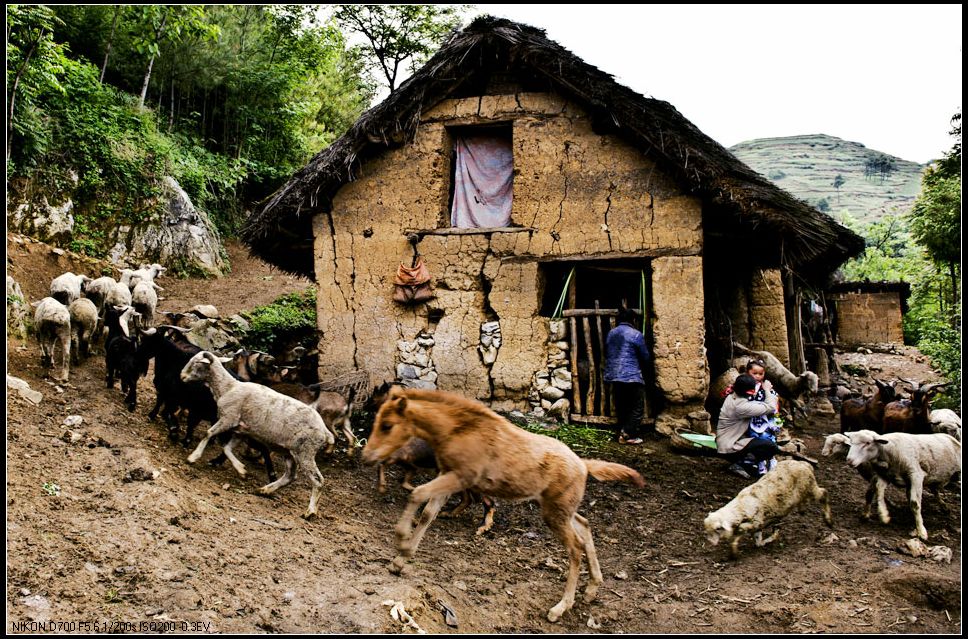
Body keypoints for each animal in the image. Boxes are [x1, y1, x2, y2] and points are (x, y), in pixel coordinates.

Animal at [182, 350, 336, 520]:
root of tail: (325, 431)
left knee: (318, 480)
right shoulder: (241, 429)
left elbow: (208, 433)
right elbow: (226, 449)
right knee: (290, 475)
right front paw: (241, 470)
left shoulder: (228, 418)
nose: (182, 376)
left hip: (305, 451)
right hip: (289, 451)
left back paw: (310, 512)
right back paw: (265, 490)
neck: (227, 387)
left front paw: (193, 457)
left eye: (196, 362)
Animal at [364, 388, 644, 624]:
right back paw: (592, 589)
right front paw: (400, 560)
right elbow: (428, 514)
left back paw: (560, 607)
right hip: (559, 507)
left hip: (555, 513)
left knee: (575, 548)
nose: (366, 456)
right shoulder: (448, 475)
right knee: (585, 527)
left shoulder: (460, 477)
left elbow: (417, 494)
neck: (458, 430)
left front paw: (401, 540)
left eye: (387, 425)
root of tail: (584, 465)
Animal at [704, 460, 832, 560]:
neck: (740, 508)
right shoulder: (758, 526)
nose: (710, 543)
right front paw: (773, 535)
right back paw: (802, 510)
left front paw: (733, 553)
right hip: (804, 491)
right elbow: (758, 542)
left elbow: (742, 531)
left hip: (810, 486)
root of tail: (804, 464)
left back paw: (829, 521)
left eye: (718, 529)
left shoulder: (757, 522)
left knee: (824, 493)